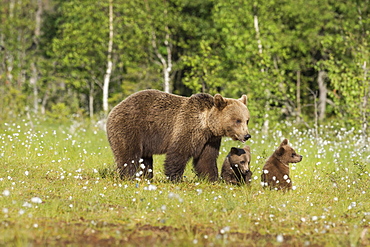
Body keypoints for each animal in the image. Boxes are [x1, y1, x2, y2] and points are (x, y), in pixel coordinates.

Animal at [107, 89, 251, 182]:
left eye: (247, 120)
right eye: (237, 120)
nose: (247, 135)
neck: (206, 124)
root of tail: (114, 108)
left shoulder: (210, 140)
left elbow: (206, 159)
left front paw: (211, 178)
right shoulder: (187, 127)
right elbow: (179, 153)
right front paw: (174, 178)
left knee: (145, 159)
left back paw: (145, 177)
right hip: (130, 128)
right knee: (129, 155)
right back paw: (129, 177)